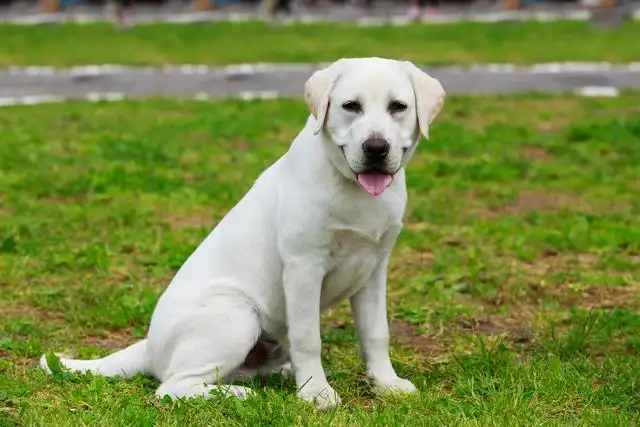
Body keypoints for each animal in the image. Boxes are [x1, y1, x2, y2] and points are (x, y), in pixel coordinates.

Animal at [40, 55, 444, 410]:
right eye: (350, 106)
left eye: (398, 107)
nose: (376, 148)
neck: (353, 189)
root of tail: (149, 347)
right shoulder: (304, 266)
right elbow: (309, 338)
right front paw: (316, 394)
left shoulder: (373, 268)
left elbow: (376, 333)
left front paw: (386, 383)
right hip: (236, 314)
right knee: (172, 387)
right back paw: (240, 395)